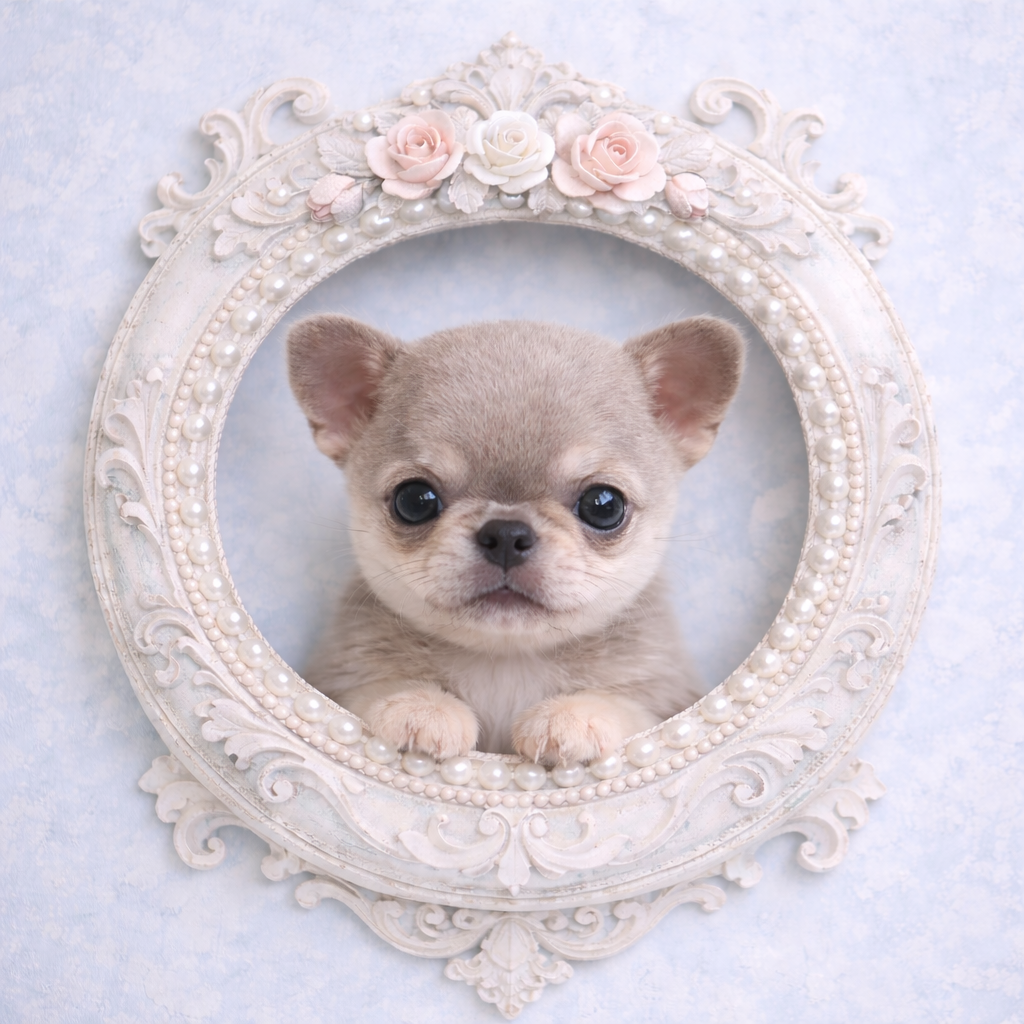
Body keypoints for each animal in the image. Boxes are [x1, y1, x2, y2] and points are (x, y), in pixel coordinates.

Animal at [287, 315, 744, 766]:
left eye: (604, 505)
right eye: (414, 500)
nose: (506, 533)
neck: (505, 660)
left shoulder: (663, 699)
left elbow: (626, 709)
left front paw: (573, 717)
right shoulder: (338, 683)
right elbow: (369, 694)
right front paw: (419, 705)